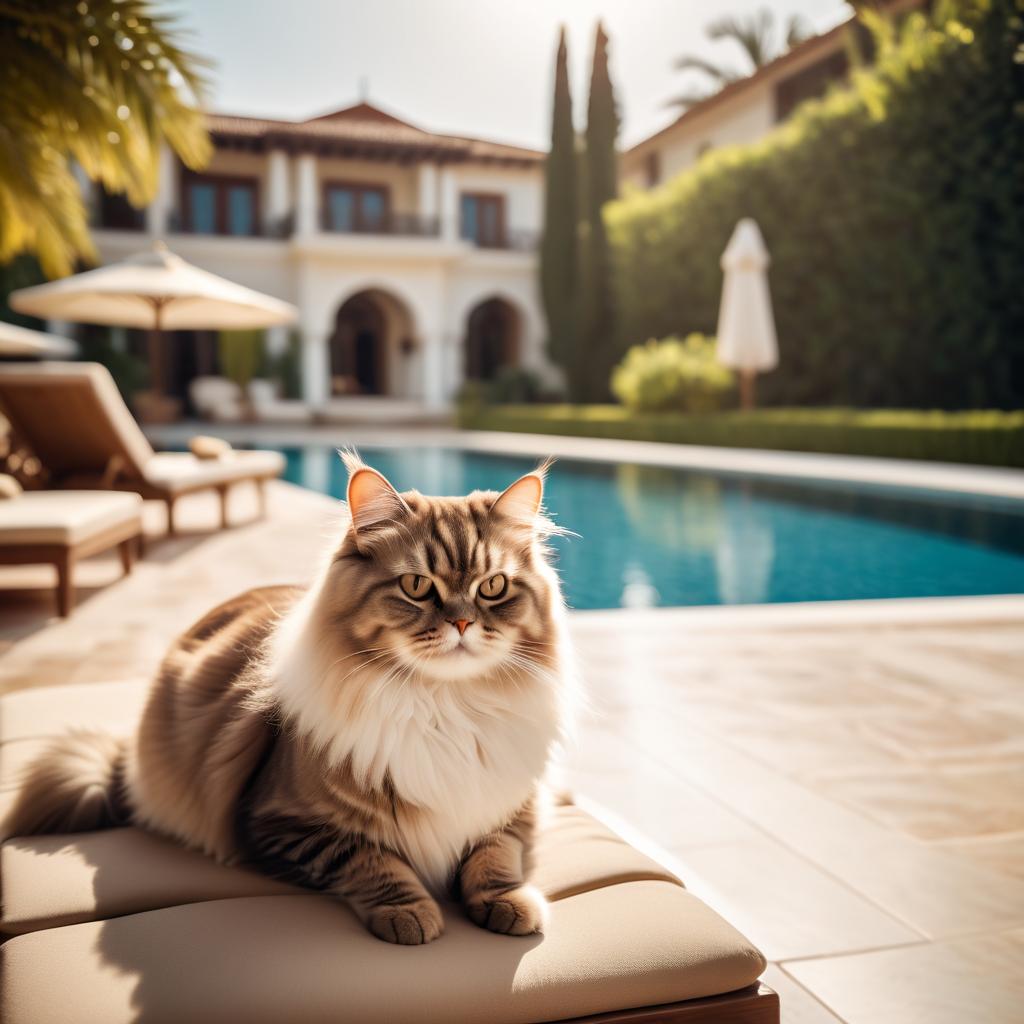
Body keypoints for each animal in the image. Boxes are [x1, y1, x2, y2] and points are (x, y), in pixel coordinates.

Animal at [4, 456, 573, 942]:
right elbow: (371, 859)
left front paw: (509, 902)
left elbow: (497, 852)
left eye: (493, 587)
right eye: (416, 585)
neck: (442, 705)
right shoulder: (280, 823)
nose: (461, 624)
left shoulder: (515, 800)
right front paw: (410, 913)